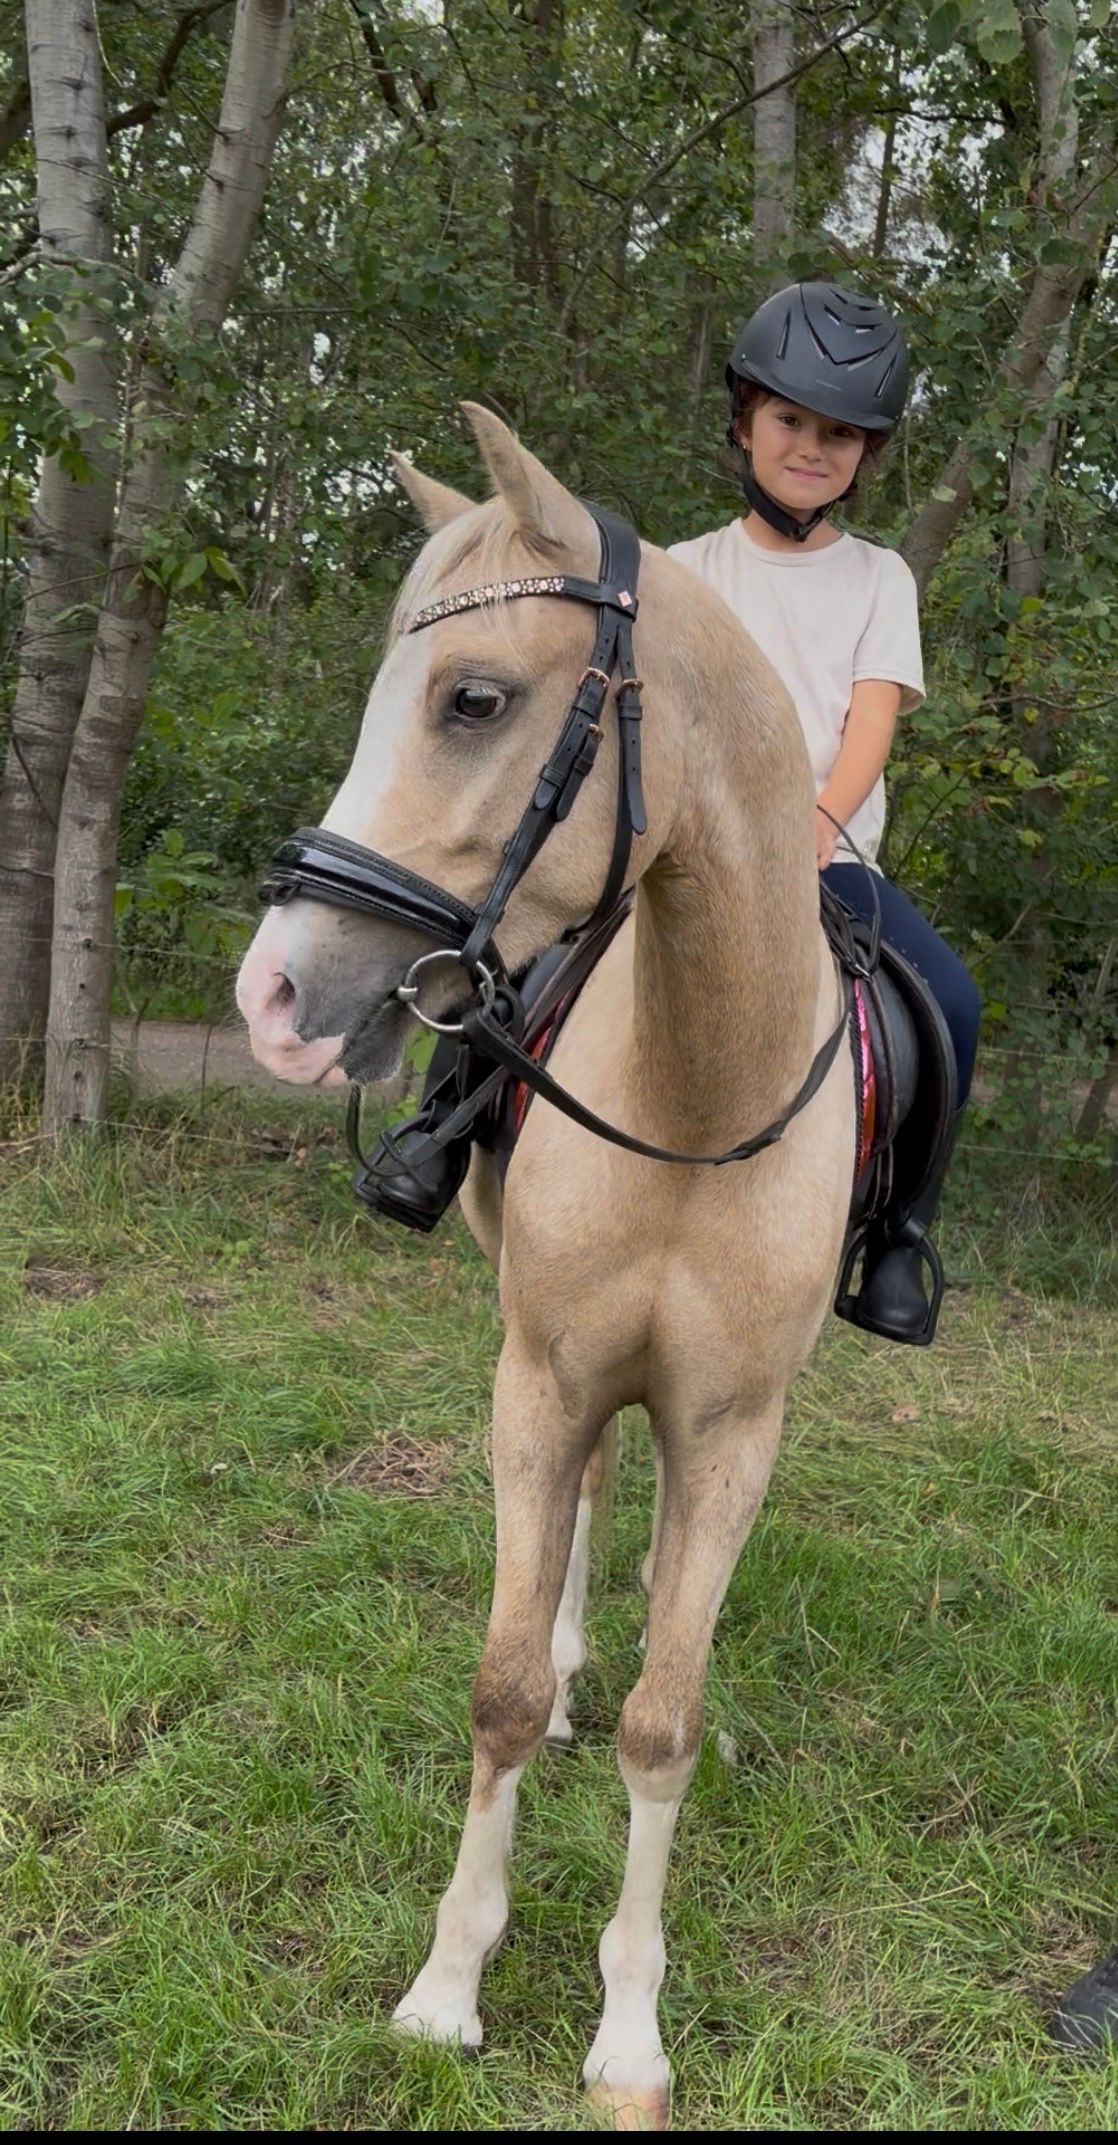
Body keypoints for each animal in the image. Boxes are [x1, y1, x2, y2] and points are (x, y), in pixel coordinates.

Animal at [236, 403, 856, 2127]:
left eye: (472, 698)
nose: (272, 994)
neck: (695, 1089)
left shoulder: (731, 1430)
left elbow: (667, 1719)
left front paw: (629, 2030)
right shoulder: (538, 1378)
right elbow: (504, 1685)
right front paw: (447, 1986)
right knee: (574, 1514)